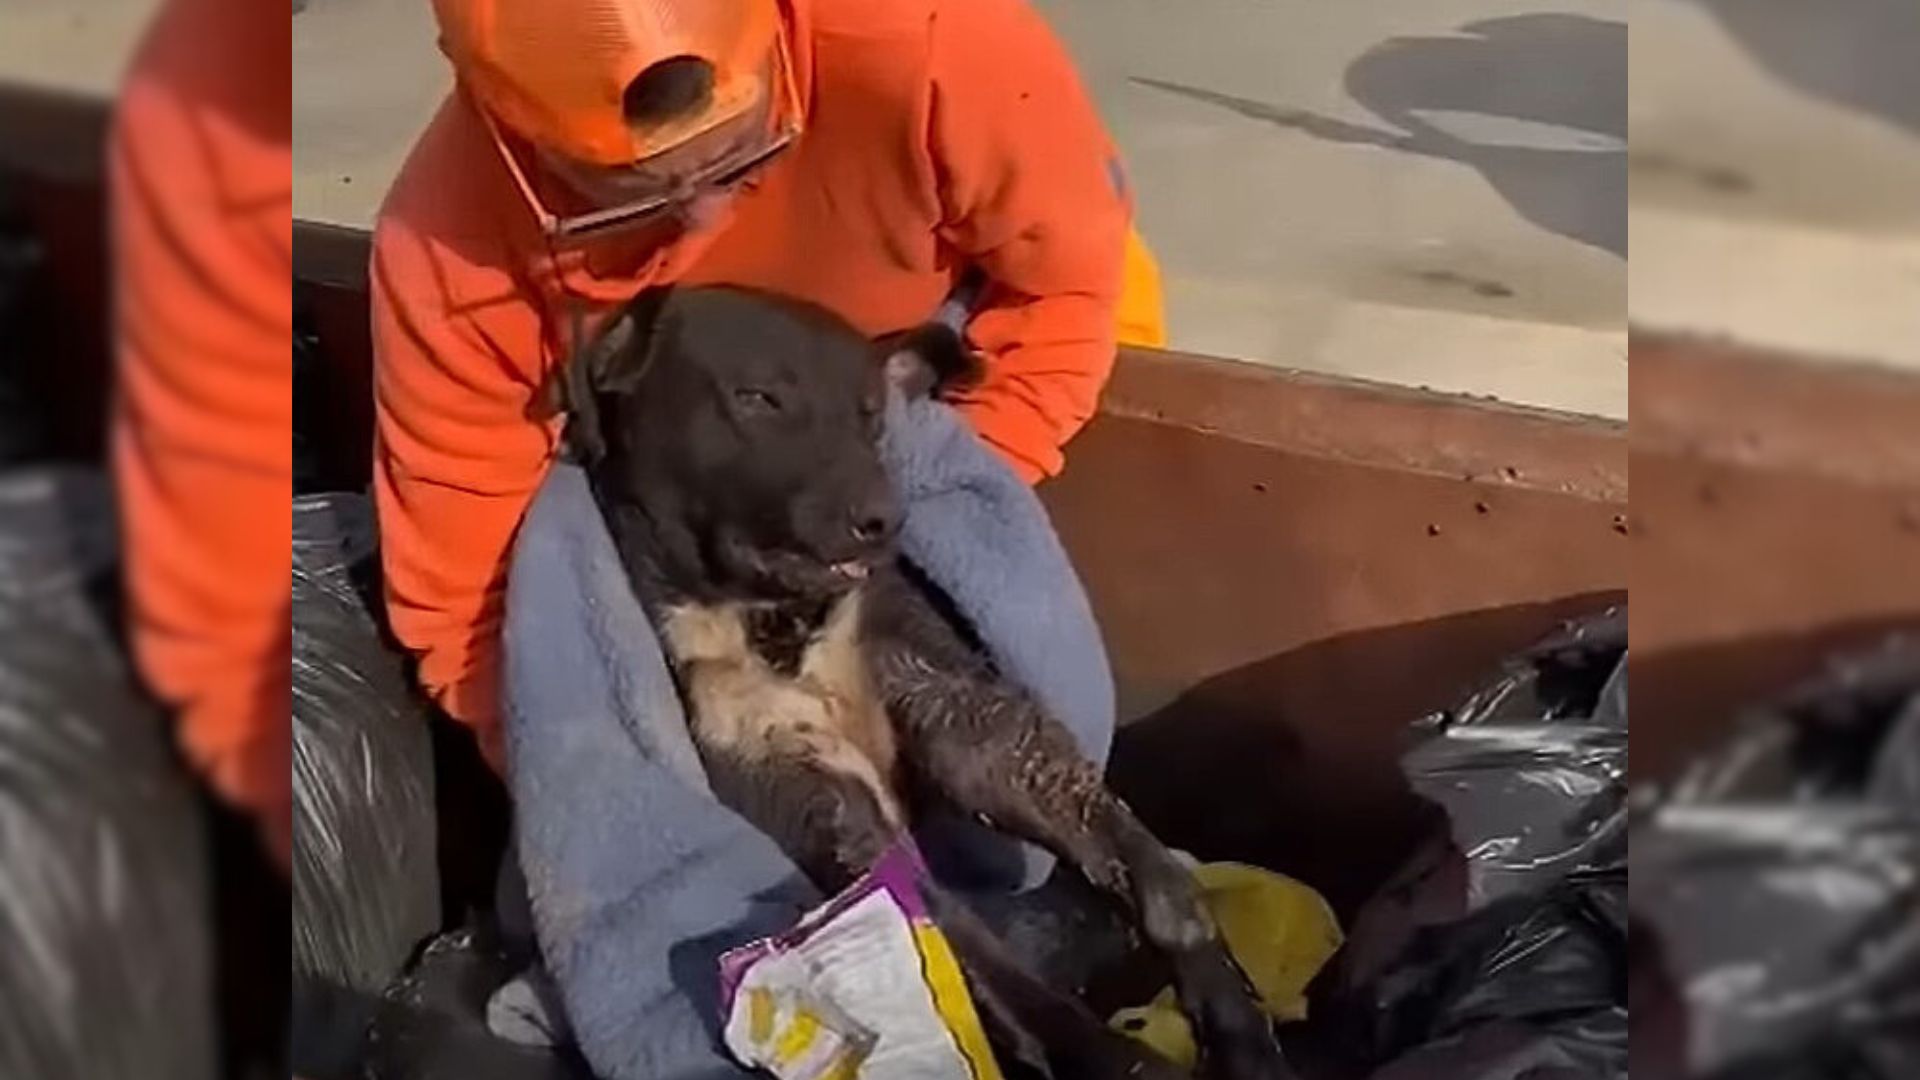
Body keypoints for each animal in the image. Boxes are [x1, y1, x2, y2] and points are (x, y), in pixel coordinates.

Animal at [560, 286, 1297, 1076]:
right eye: (756, 397)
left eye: (870, 414)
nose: (884, 518)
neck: (779, 624)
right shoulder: (818, 801)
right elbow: (986, 959)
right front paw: (1117, 1057)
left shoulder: (965, 717)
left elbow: (1159, 881)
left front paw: (1235, 1024)